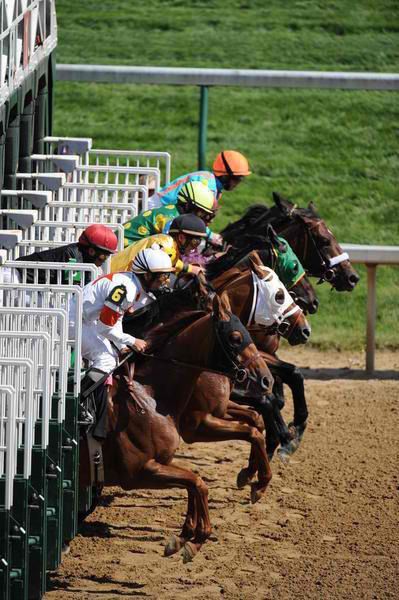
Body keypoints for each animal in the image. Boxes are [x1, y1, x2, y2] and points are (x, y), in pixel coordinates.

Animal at [97, 296, 272, 564]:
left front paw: (249, 475)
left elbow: (255, 424)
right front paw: (259, 483)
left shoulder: (217, 412)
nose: (266, 379)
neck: (150, 394)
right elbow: (248, 434)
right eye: (235, 337)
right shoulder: (195, 426)